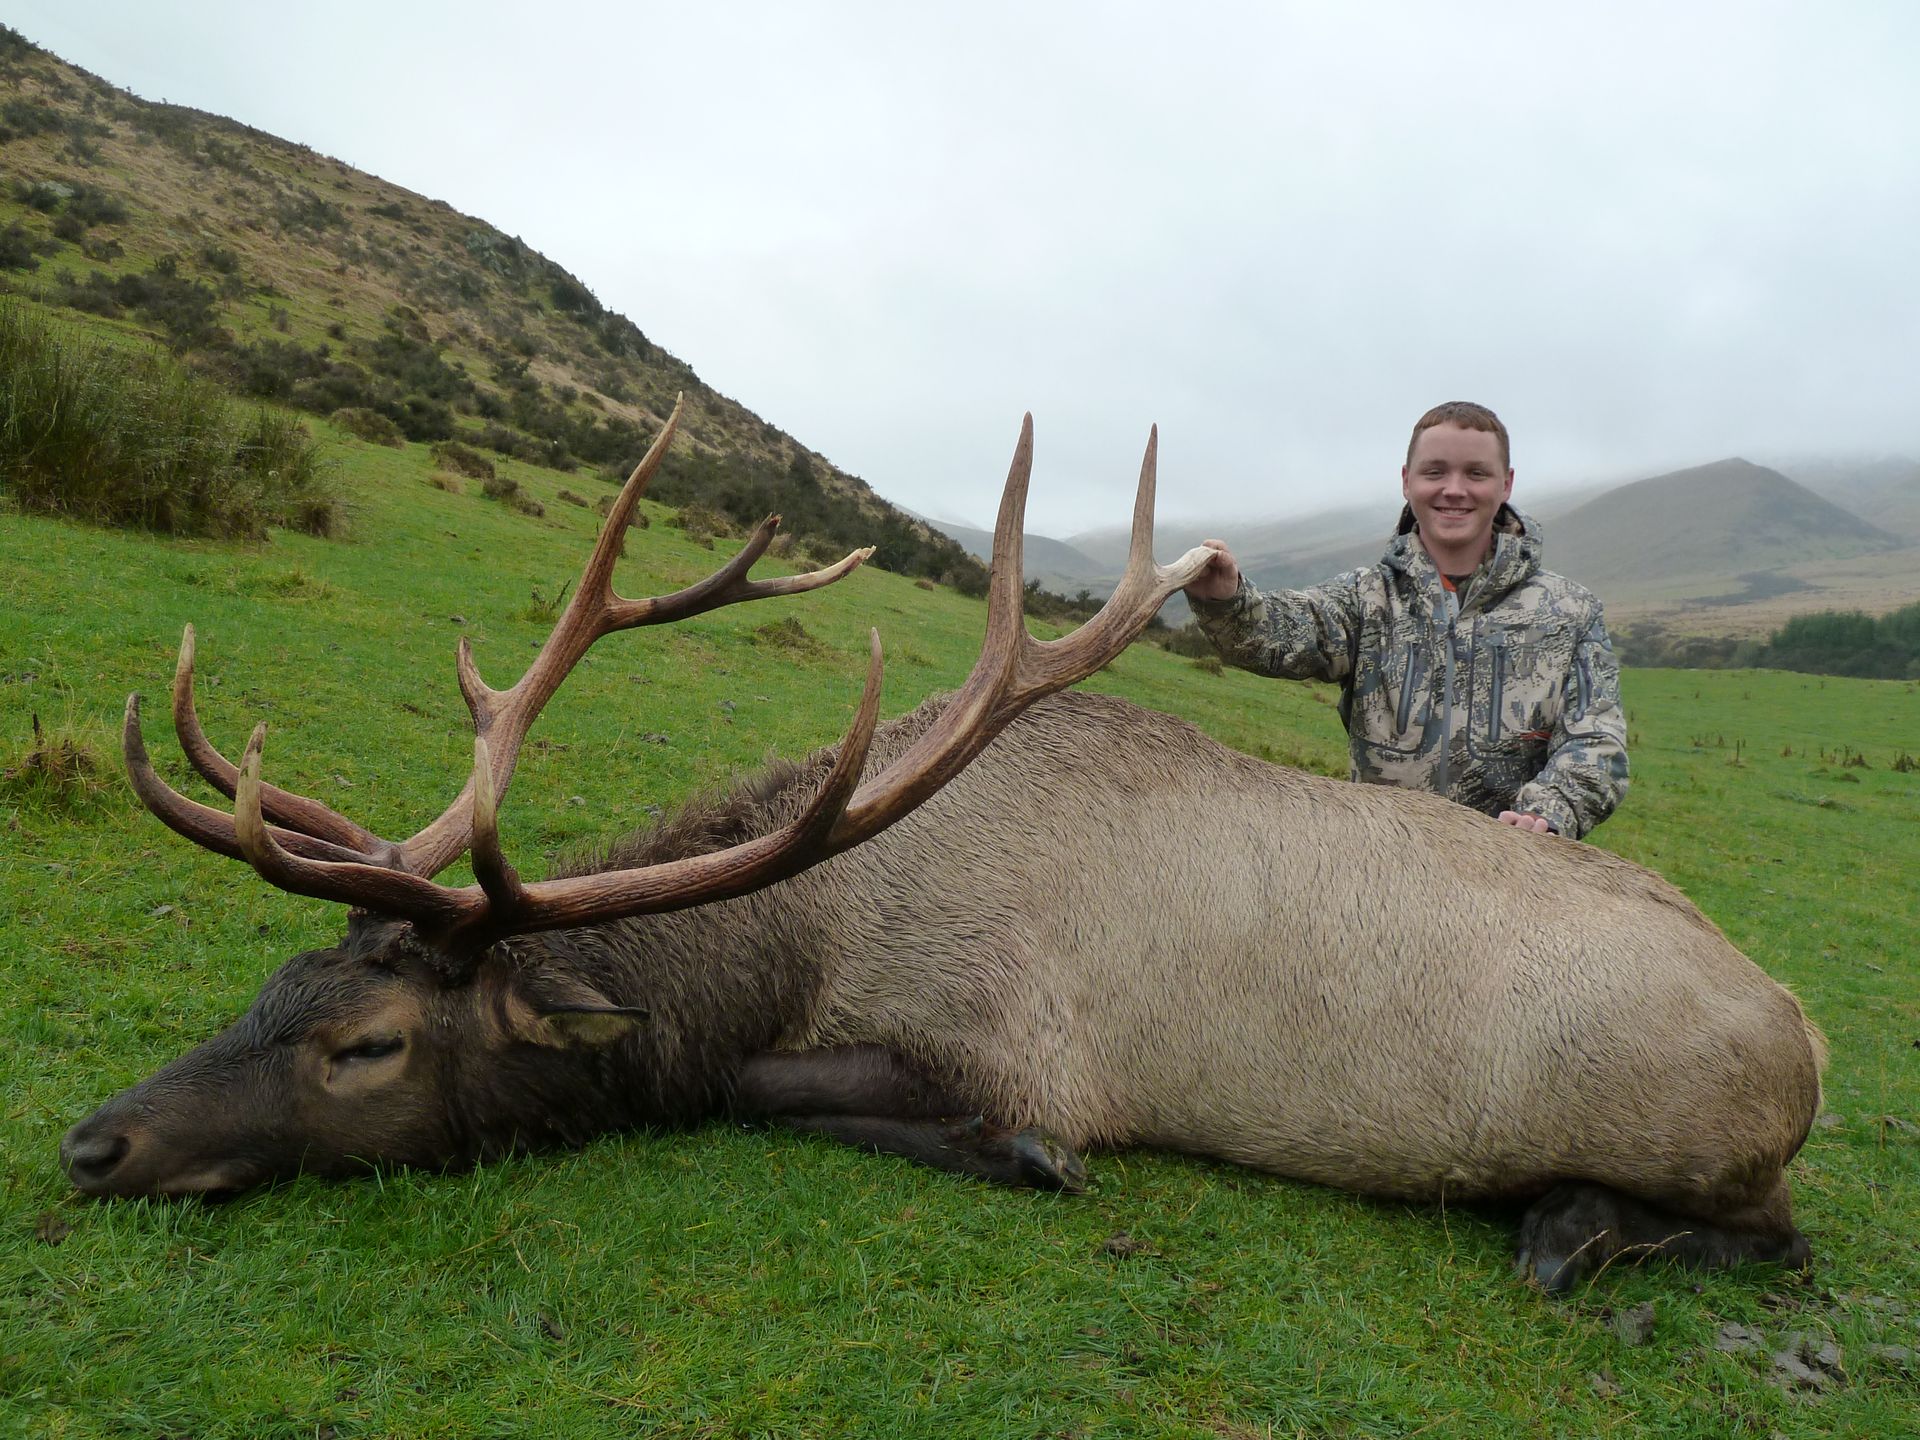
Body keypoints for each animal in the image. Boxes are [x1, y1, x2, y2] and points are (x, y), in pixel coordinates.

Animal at [62, 401, 1825, 1292]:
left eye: (365, 1044)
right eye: (275, 986)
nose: (94, 1145)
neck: (802, 930)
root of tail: (1812, 1043)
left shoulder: (1006, 1038)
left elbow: (755, 1088)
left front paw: (1021, 1161)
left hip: (1700, 1143)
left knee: (1779, 1237)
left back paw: (1567, 1229)